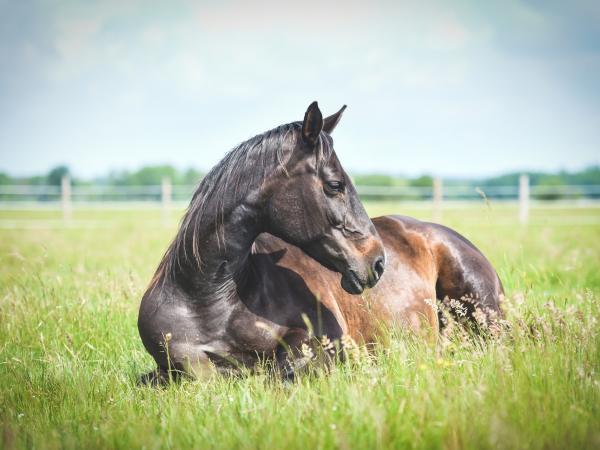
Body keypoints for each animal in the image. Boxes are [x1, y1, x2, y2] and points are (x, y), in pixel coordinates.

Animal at [137, 102, 502, 384]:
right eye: (335, 184)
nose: (377, 261)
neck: (206, 297)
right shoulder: (179, 364)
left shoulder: (323, 343)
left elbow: (281, 371)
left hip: (485, 314)